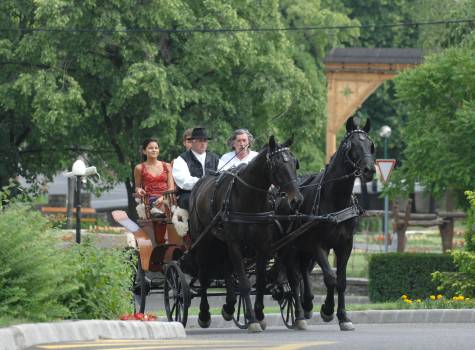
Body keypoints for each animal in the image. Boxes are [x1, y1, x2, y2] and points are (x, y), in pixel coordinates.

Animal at [189, 135, 304, 332]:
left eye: (294, 163)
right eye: (277, 165)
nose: (296, 200)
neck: (249, 198)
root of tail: (200, 183)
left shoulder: (262, 246)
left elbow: (260, 281)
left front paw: (259, 314)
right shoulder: (235, 244)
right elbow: (243, 283)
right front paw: (252, 320)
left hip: (223, 243)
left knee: (227, 269)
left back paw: (229, 307)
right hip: (203, 240)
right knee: (203, 276)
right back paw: (204, 314)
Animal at [278, 117, 376, 330]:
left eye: (370, 145)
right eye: (351, 145)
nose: (369, 170)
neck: (335, 199)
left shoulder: (345, 245)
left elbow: (341, 281)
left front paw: (343, 317)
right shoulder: (318, 244)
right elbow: (330, 278)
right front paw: (328, 310)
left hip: (304, 249)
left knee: (303, 272)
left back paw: (307, 304)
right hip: (290, 247)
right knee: (294, 278)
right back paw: (299, 314)